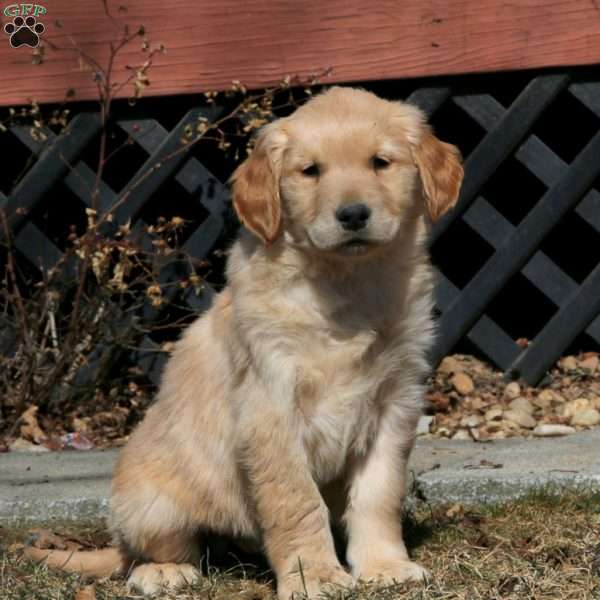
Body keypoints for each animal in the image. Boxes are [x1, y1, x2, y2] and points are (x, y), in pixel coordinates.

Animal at [25, 86, 462, 596]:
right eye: (310, 171)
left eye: (380, 163)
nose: (353, 214)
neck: (344, 284)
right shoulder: (270, 407)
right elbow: (297, 502)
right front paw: (315, 576)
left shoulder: (395, 403)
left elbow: (380, 493)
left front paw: (385, 565)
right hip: (154, 499)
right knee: (146, 552)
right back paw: (164, 571)